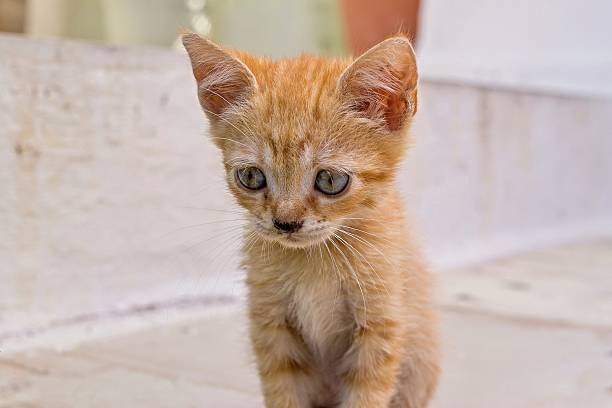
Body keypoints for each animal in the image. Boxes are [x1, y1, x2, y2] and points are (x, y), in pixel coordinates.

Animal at [182, 32, 440, 408]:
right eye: (251, 177)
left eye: (330, 180)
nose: (285, 223)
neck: (316, 262)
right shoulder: (271, 326)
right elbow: (284, 393)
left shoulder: (380, 325)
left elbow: (366, 395)